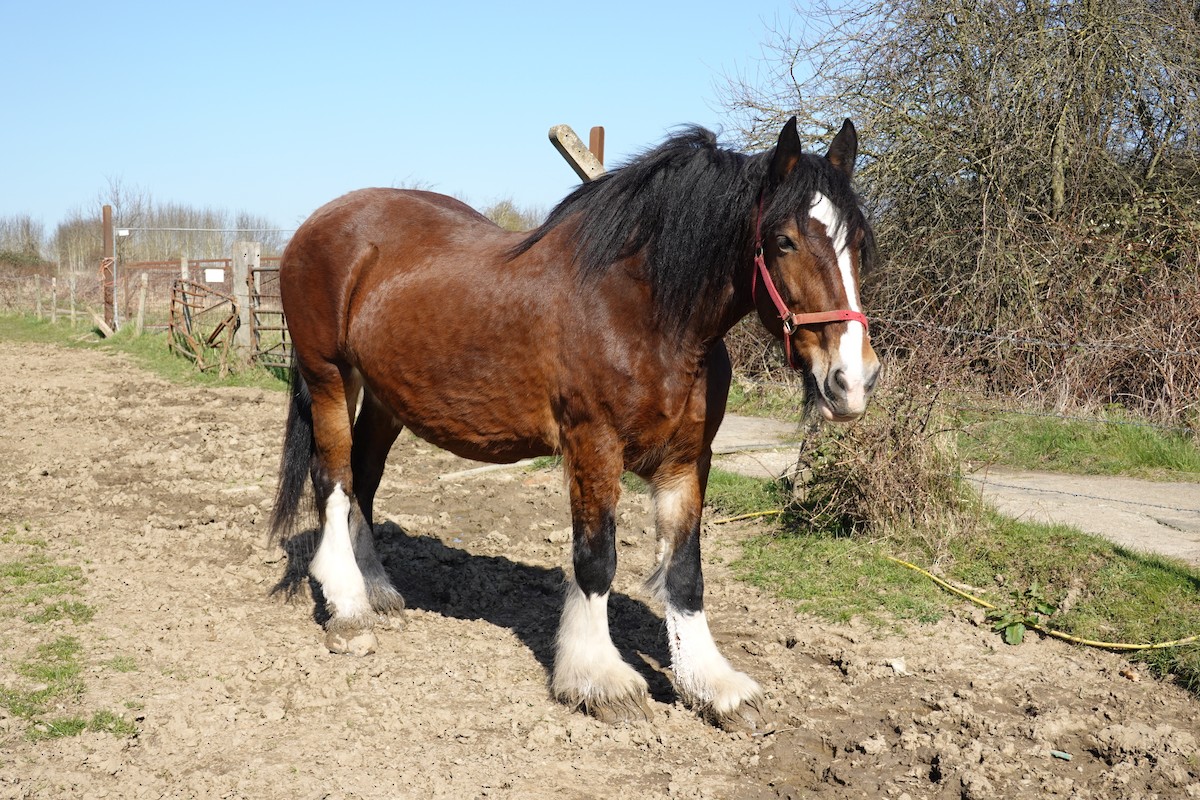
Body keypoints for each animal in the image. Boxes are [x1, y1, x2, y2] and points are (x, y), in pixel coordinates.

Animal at [269, 117, 880, 729]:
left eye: (858, 243)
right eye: (784, 241)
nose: (853, 380)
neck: (646, 315)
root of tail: (316, 224)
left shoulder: (688, 459)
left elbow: (685, 572)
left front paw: (713, 685)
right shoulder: (593, 445)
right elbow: (596, 560)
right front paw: (600, 679)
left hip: (386, 397)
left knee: (364, 482)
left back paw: (378, 590)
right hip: (329, 377)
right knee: (334, 481)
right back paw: (348, 605)